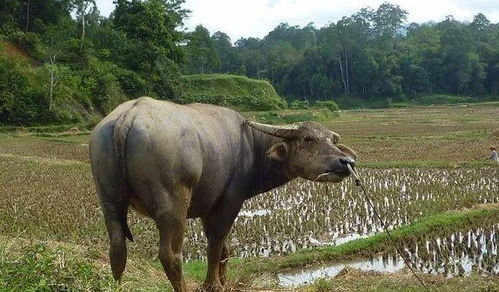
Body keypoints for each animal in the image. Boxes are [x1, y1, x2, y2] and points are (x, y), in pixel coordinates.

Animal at [89, 96, 356, 292]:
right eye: (308, 138)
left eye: (332, 140)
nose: (346, 161)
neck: (252, 147)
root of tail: (127, 118)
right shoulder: (229, 202)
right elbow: (216, 246)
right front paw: (213, 285)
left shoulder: (210, 207)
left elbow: (224, 248)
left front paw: (223, 281)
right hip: (172, 206)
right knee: (171, 256)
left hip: (109, 200)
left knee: (117, 249)